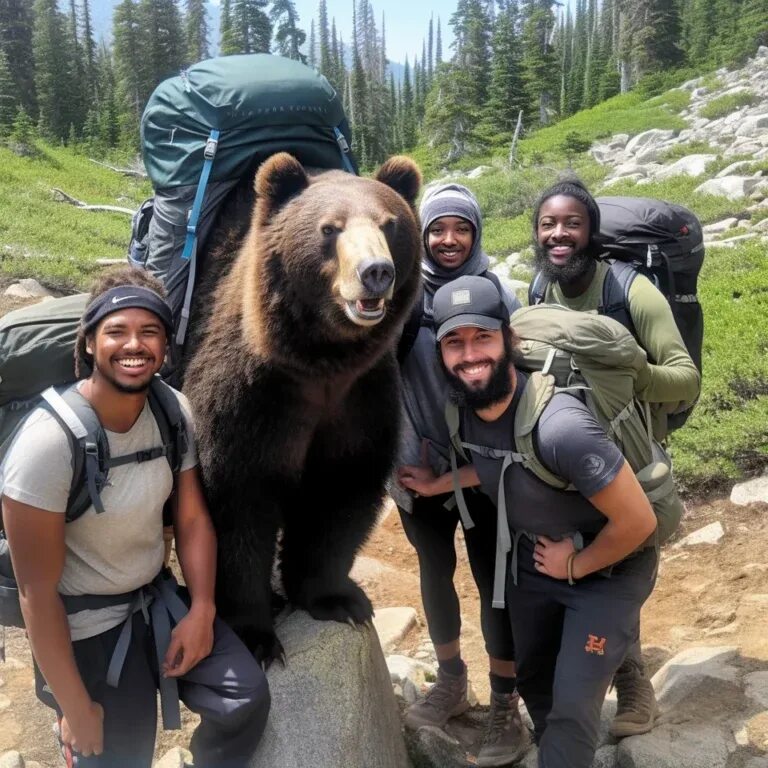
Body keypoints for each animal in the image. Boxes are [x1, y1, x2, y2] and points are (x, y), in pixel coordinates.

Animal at [183, 153, 424, 664]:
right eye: (330, 228)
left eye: (390, 224)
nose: (376, 271)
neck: (319, 359)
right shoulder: (254, 395)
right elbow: (236, 502)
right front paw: (253, 632)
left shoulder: (359, 398)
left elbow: (339, 492)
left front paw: (338, 599)